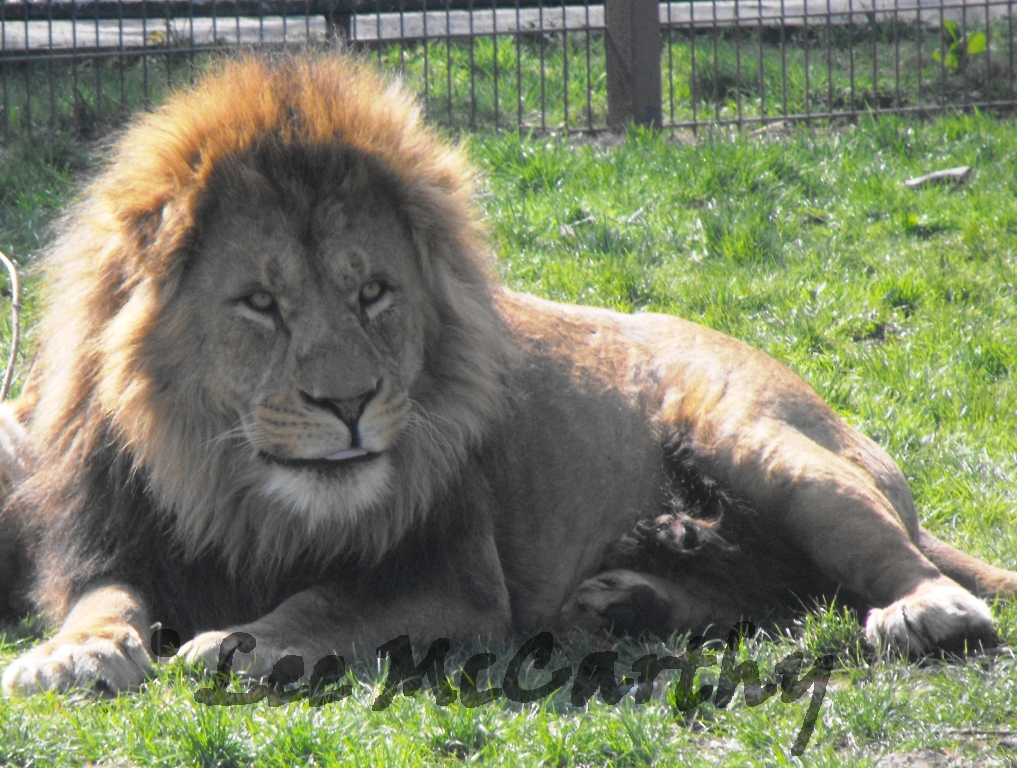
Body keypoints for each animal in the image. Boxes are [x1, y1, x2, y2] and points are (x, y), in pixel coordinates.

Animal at [1, 55, 1015, 696]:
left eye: (372, 292)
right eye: (260, 303)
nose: (350, 404)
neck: (235, 492)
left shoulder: (452, 579)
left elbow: (326, 601)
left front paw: (241, 642)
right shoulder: (107, 536)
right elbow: (102, 599)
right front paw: (73, 655)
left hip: (761, 440)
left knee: (901, 568)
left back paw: (920, 613)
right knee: (787, 592)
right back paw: (627, 603)